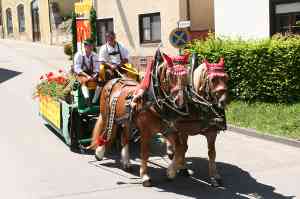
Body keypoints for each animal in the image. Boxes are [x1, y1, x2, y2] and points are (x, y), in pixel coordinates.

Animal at [88, 51, 190, 187]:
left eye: (186, 74)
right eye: (170, 76)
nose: (181, 102)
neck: (153, 101)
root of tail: (113, 80)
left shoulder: (167, 129)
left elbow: (180, 148)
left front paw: (171, 171)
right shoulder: (146, 132)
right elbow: (145, 153)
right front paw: (145, 176)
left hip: (127, 122)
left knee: (124, 138)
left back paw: (126, 162)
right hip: (107, 116)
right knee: (106, 132)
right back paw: (100, 152)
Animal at [166, 55, 230, 187]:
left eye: (226, 78)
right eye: (213, 79)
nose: (223, 101)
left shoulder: (211, 132)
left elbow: (212, 152)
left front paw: (214, 175)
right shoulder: (183, 130)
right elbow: (181, 149)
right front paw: (176, 169)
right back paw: (170, 150)